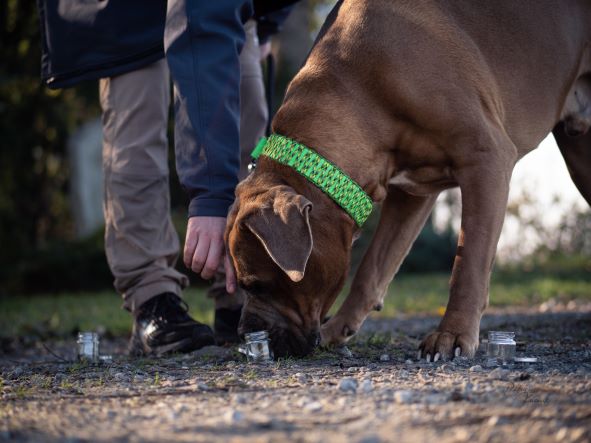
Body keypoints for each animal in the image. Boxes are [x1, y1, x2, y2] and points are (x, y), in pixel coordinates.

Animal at [227, 0, 591, 360]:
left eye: (256, 284)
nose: (244, 335)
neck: (358, 91)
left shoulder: (486, 159)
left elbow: (468, 263)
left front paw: (452, 334)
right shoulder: (411, 195)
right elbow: (372, 268)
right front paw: (338, 329)